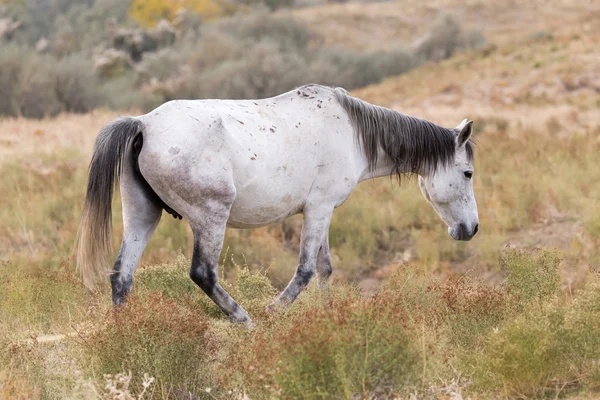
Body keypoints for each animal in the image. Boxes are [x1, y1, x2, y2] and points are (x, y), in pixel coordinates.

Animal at [76, 83, 478, 324]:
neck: (351, 131)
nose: (471, 229)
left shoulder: (323, 212)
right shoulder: (318, 209)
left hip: (143, 215)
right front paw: (274, 311)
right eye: (468, 173)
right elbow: (306, 270)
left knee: (122, 274)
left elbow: (326, 268)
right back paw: (244, 319)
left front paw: (329, 313)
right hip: (210, 219)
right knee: (203, 273)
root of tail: (143, 124)